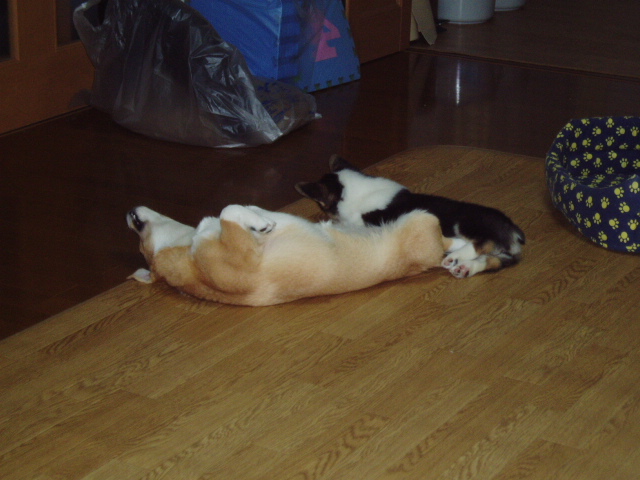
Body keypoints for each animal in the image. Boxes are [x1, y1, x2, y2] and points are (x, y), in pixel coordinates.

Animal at [127, 204, 452, 305]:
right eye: (141, 242)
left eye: (138, 234)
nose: (128, 214)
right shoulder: (242, 256)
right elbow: (229, 212)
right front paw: (261, 224)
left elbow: (236, 209)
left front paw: (259, 217)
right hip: (421, 220)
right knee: (450, 240)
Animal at [295, 155, 525, 278]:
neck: (353, 189)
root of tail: (513, 229)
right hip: (503, 255)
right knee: (491, 261)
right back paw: (464, 267)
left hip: (467, 222)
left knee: (483, 243)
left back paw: (456, 256)